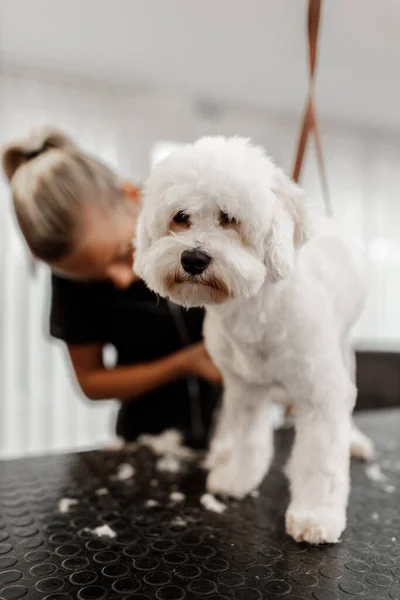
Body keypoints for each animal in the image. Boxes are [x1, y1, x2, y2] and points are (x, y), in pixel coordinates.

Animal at [134, 135, 372, 544]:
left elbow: (321, 461)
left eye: (230, 219)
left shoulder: (321, 395)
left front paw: (315, 516)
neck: (254, 313)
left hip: (343, 354)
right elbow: (249, 440)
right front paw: (236, 479)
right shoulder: (245, 389)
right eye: (180, 216)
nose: (193, 259)